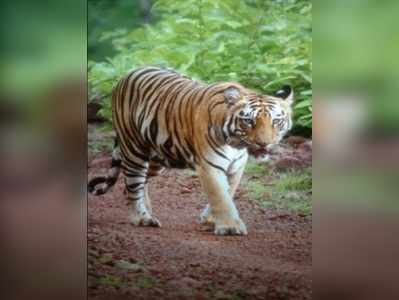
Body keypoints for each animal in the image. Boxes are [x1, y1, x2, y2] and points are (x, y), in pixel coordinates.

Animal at [88, 67, 294, 236]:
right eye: (249, 121)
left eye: (276, 121)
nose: (264, 144)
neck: (236, 144)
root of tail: (127, 74)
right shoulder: (209, 166)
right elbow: (220, 196)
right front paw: (229, 227)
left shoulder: (236, 167)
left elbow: (228, 192)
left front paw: (210, 220)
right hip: (134, 149)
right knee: (132, 182)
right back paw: (142, 218)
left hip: (157, 158)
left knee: (134, 186)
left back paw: (147, 210)